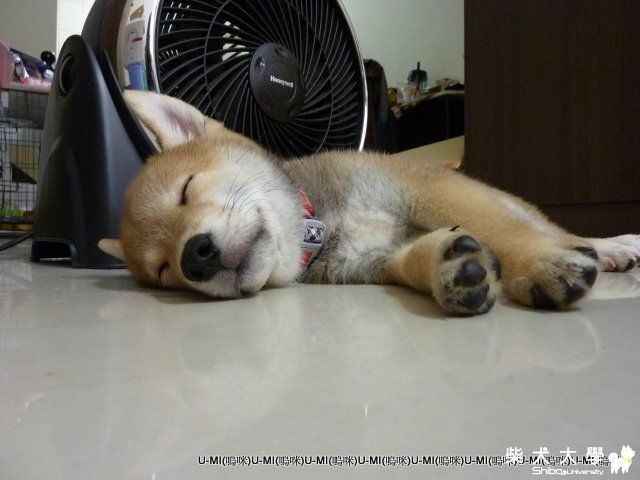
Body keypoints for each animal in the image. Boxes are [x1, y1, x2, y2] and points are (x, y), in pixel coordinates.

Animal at [98, 91, 640, 315]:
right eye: (164, 271)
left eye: (186, 190)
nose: (195, 256)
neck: (327, 222)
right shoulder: (378, 259)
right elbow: (421, 257)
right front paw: (450, 266)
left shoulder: (429, 190)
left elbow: (503, 232)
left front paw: (540, 264)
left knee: (550, 225)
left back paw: (612, 245)